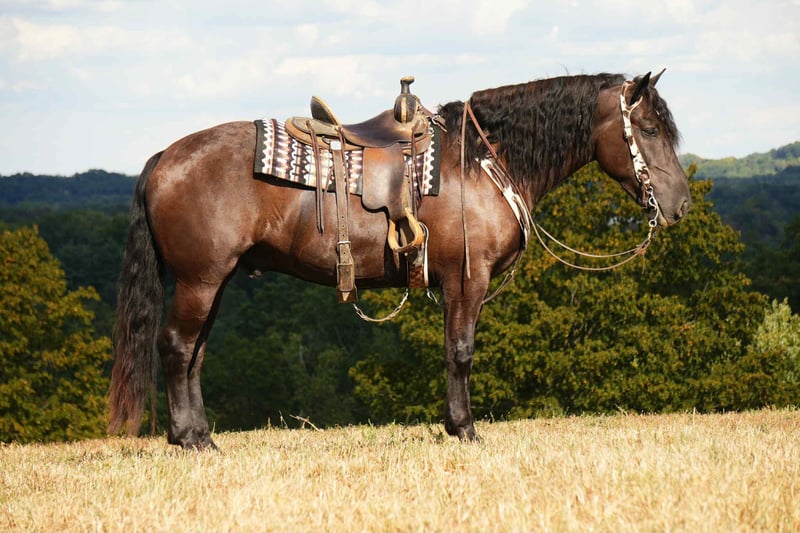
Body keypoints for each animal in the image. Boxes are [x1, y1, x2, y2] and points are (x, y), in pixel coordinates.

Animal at [108, 71, 690, 449]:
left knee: (195, 353)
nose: (680, 204)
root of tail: (165, 157)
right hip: (199, 280)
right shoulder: (466, 282)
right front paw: (463, 428)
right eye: (650, 130)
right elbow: (460, 352)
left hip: (216, 281)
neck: (481, 161)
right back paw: (189, 439)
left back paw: (201, 434)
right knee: (176, 347)